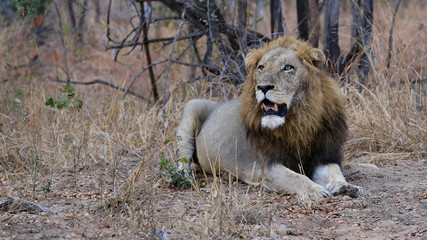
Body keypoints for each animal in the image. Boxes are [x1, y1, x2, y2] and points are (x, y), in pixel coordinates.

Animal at [177, 35, 364, 201]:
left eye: (288, 68)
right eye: (261, 67)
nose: (263, 87)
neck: (300, 121)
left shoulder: (324, 156)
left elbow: (335, 172)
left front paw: (347, 186)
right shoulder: (269, 166)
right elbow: (297, 178)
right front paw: (315, 191)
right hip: (191, 107)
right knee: (182, 158)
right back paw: (184, 177)